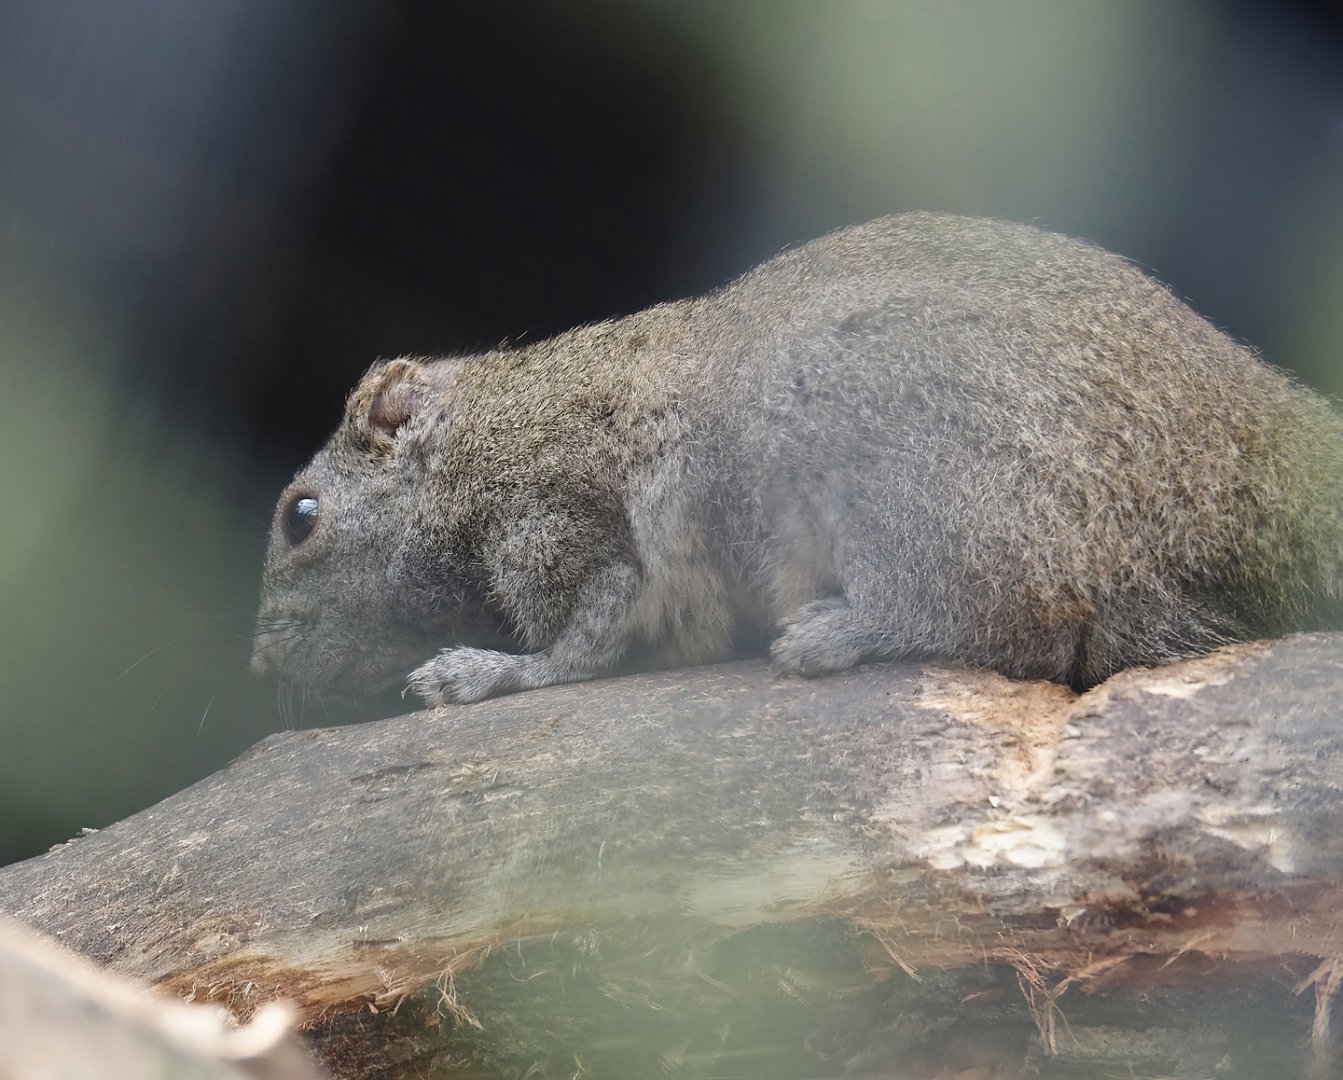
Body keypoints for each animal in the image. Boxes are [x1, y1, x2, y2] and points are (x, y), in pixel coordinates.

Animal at [253, 212, 1343, 704]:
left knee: (1016, 629)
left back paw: (840, 632)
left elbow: (584, 641)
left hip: (921, 472)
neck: (468, 450)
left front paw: (489, 672)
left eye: (300, 516)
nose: (261, 662)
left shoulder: (556, 518)